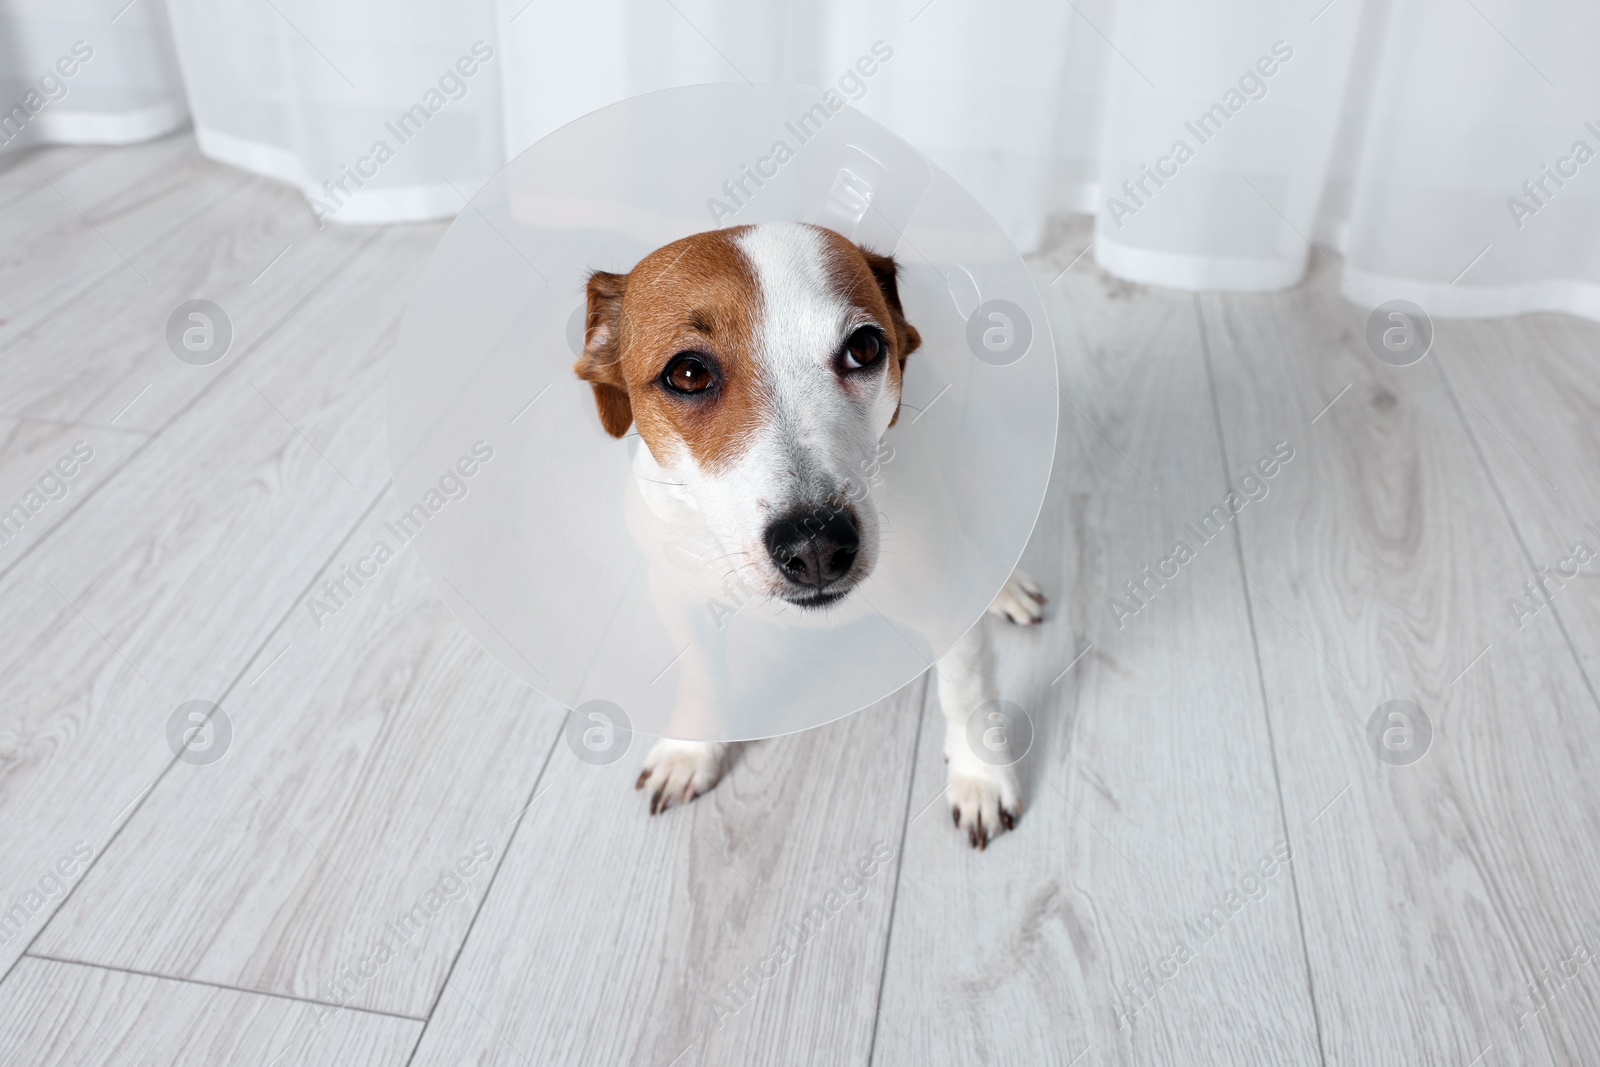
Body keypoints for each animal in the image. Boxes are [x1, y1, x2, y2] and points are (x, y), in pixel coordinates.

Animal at [569, 220, 1043, 844]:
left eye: (864, 347)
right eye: (688, 373)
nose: (816, 545)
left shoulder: (949, 607)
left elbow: (965, 695)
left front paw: (980, 776)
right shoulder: (678, 598)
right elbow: (703, 679)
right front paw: (693, 749)